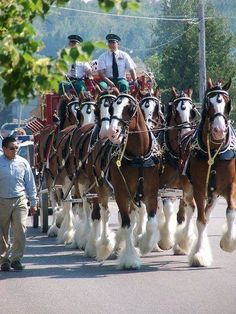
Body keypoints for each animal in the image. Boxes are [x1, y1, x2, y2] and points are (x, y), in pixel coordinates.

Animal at [186, 79, 236, 268]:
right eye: (209, 103)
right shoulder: (199, 188)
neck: (214, 150)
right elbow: (201, 220)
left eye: (227, 103)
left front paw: (228, 242)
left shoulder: (231, 185)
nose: (219, 130)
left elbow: (231, 212)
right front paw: (199, 254)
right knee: (203, 215)